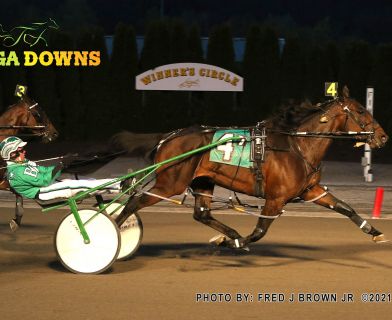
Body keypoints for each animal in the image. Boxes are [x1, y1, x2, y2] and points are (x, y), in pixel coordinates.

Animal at [115, 88, 388, 250]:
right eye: (361, 110)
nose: (383, 137)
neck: (298, 145)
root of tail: (169, 136)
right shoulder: (276, 198)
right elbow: (260, 230)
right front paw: (233, 243)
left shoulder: (311, 190)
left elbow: (345, 208)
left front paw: (375, 231)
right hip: (171, 183)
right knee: (134, 202)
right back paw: (113, 230)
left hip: (202, 181)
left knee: (201, 213)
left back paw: (230, 233)